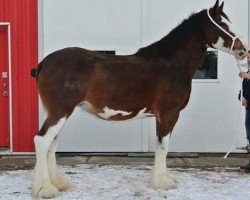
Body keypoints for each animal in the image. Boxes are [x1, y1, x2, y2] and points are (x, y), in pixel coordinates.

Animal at [30, 0, 247, 198]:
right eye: (222, 23)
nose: (244, 49)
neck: (171, 63)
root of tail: (44, 63)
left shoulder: (161, 116)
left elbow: (161, 146)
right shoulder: (169, 114)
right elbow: (164, 146)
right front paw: (162, 182)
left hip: (59, 112)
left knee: (52, 143)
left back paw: (58, 184)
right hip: (60, 111)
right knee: (42, 141)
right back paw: (45, 189)